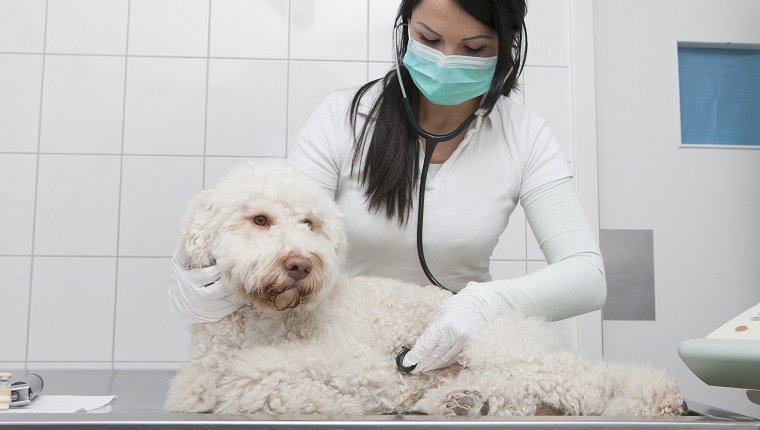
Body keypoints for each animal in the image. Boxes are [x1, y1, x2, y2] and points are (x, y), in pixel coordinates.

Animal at [163, 160, 684, 416]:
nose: (300, 264)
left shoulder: (352, 362)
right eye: (259, 219)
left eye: (310, 223)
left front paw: (331, 400)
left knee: (583, 381)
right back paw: (463, 401)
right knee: (516, 394)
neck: (266, 321)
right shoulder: (198, 379)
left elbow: (254, 376)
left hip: (496, 344)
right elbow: (216, 387)